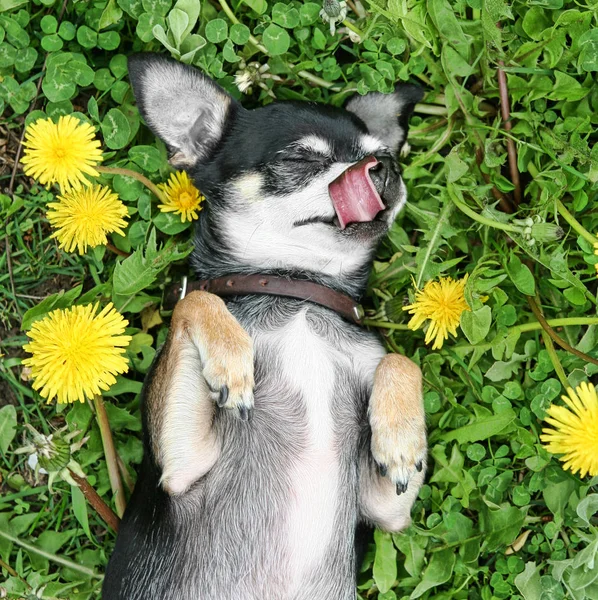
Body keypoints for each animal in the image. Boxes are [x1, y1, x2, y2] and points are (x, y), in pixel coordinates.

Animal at [104, 54, 432, 596]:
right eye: (300, 160)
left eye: (382, 153)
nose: (387, 168)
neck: (295, 290)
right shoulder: (181, 468)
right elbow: (197, 300)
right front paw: (231, 362)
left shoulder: (386, 510)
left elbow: (402, 359)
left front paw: (402, 439)